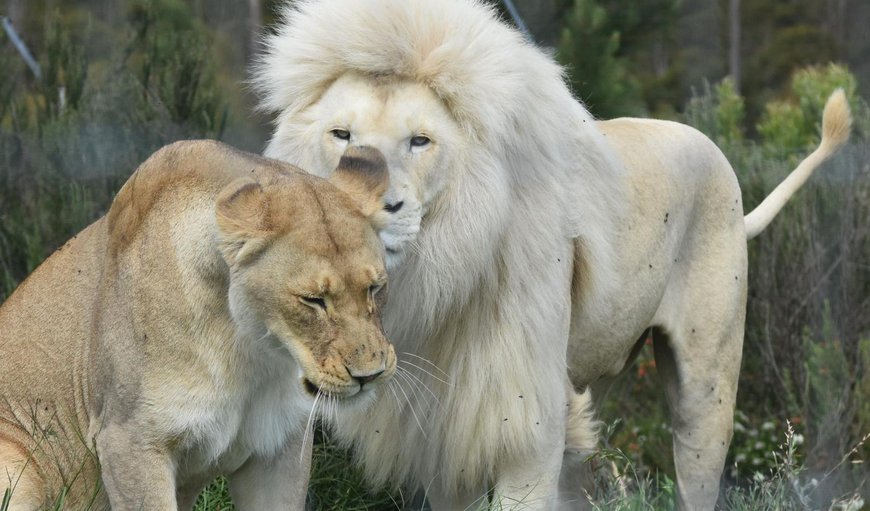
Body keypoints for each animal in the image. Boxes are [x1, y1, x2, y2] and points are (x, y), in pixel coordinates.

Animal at [252, 2, 852, 510]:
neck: (438, 277)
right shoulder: (442, 432)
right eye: (341, 134)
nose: (371, 209)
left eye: (420, 141)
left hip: (706, 389)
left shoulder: (526, 425)